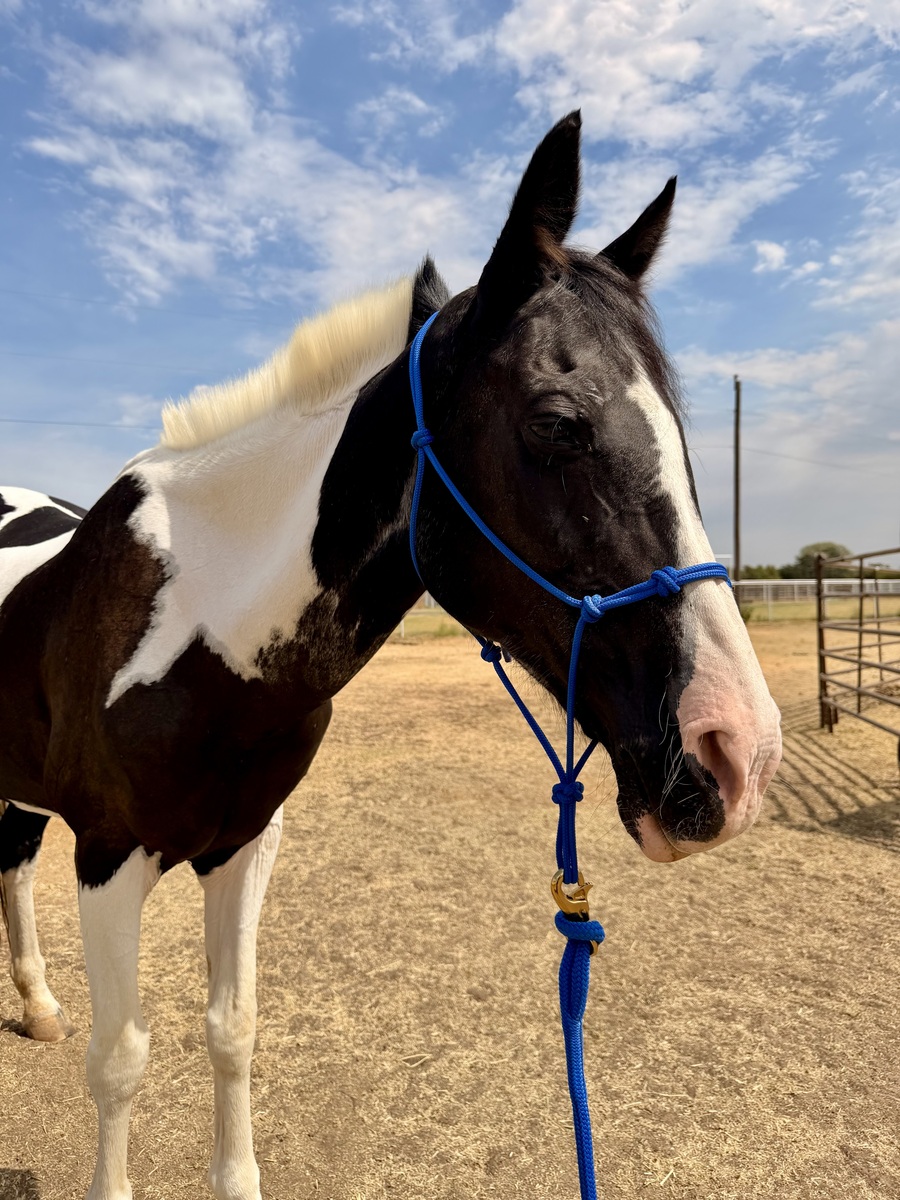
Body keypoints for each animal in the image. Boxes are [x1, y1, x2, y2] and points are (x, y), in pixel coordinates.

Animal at [0, 111, 782, 1200]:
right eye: (556, 424)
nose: (735, 751)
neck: (202, 623)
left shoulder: (243, 844)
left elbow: (232, 1029)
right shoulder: (110, 853)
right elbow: (119, 1060)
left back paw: (34, 1005)